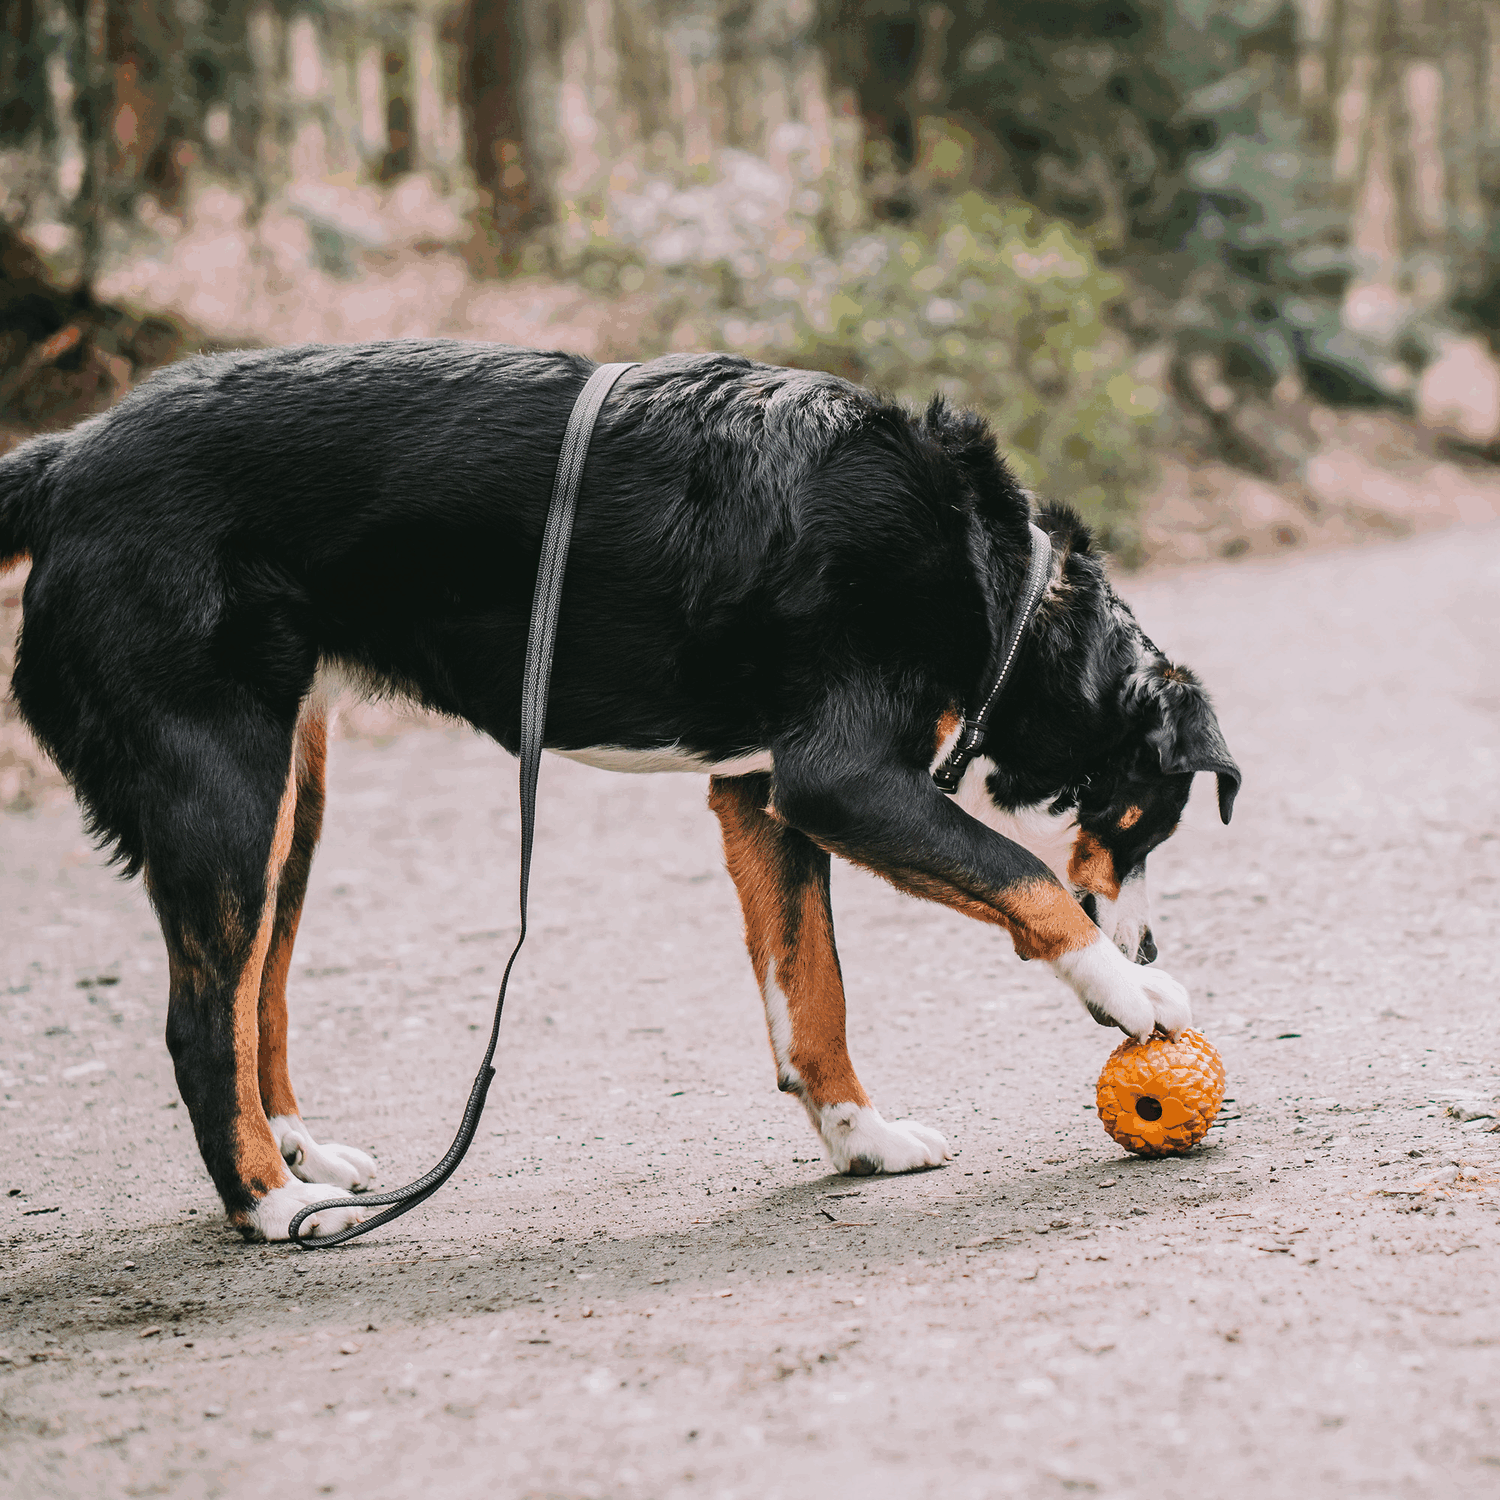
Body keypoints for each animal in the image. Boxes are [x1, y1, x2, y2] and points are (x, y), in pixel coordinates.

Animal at [0, 343, 1236, 1242]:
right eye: (1140, 824)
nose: (1153, 939)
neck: (995, 578)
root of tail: (63, 462)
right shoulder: (842, 781)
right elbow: (1024, 879)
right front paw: (1128, 990)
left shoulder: (762, 798)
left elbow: (814, 994)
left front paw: (860, 1141)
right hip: (223, 795)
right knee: (199, 1025)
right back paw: (272, 1205)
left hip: (288, 805)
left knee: (259, 995)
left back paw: (306, 1157)